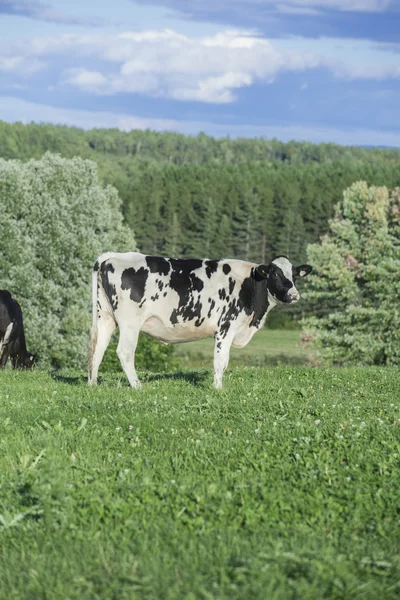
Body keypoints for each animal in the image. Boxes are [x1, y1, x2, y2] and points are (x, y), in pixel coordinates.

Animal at [88, 252, 312, 390]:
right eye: (275, 274)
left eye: (294, 276)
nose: (294, 294)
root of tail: (115, 256)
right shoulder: (226, 327)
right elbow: (221, 360)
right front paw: (218, 388)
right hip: (130, 323)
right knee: (124, 352)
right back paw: (137, 385)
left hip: (105, 317)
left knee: (98, 349)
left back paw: (93, 384)